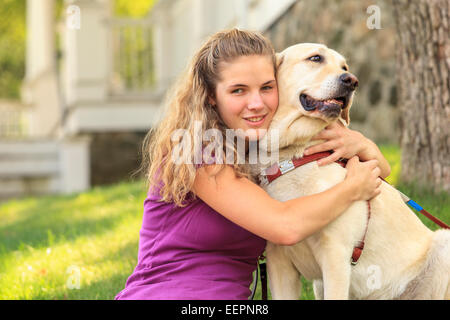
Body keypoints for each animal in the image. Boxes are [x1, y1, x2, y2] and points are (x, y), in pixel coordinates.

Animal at [256, 43, 450, 300]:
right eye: (315, 58)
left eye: (344, 67)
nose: (352, 81)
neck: (294, 155)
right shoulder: (278, 261)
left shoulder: (336, 254)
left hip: (444, 243)